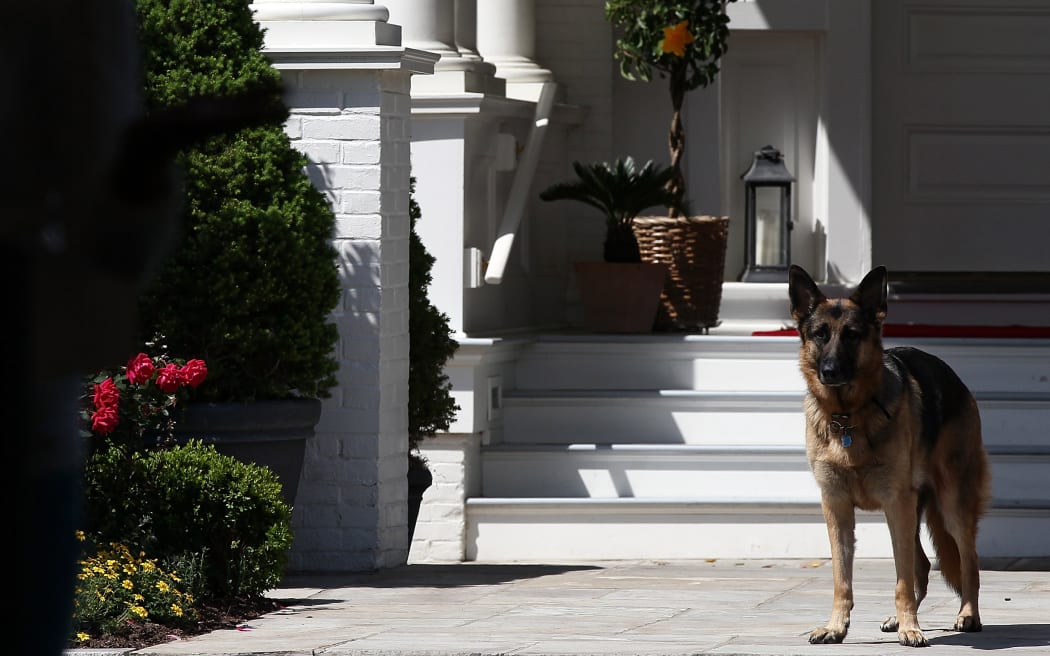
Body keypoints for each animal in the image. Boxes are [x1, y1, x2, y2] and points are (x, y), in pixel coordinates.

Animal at [789, 264, 991, 646]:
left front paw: (911, 628)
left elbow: (902, 581)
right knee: (923, 565)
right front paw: (837, 627)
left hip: (950, 506)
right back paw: (901, 619)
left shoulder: (897, 503)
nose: (830, 371)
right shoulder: (837, 506)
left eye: (852, 335)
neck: (847, 416)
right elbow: (842, 579)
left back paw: (967, 615)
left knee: (967, 561)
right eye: (820, 335)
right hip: (910, 510)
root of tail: (954, 377)